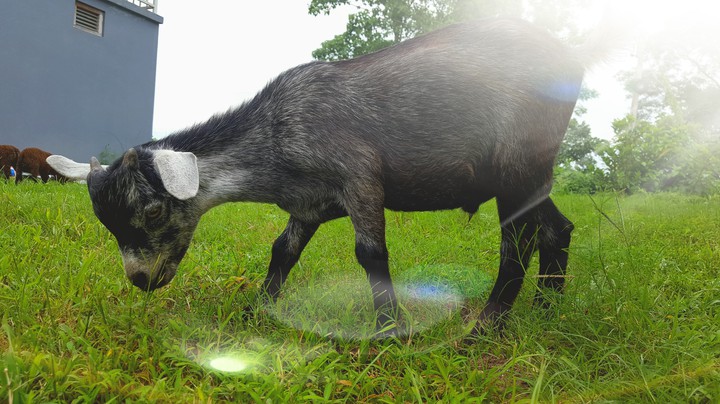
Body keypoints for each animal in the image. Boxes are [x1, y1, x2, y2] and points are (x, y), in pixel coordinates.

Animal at [48, 18, 607, 336]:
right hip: (529, 175)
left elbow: (370, 253)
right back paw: (547, 312)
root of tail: (572, 62)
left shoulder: (359, 177)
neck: (277, 135)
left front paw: (390, 330)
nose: (141, 280)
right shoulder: (309, 205)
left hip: (517, 163)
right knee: (556, 229)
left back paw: (487, 327)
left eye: (152, 209)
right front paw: (256, 311)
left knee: (518, 240)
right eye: (108, 223)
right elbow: (283, 251)